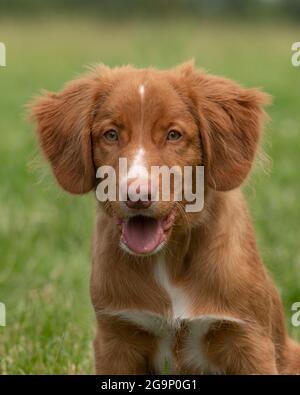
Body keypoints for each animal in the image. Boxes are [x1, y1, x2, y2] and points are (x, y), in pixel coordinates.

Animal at [30, 63, 300, 376]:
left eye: (173, 135)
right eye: (111, 134)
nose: (137, 196)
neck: (168, 258)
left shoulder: (248, 340)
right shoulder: (116, 338)